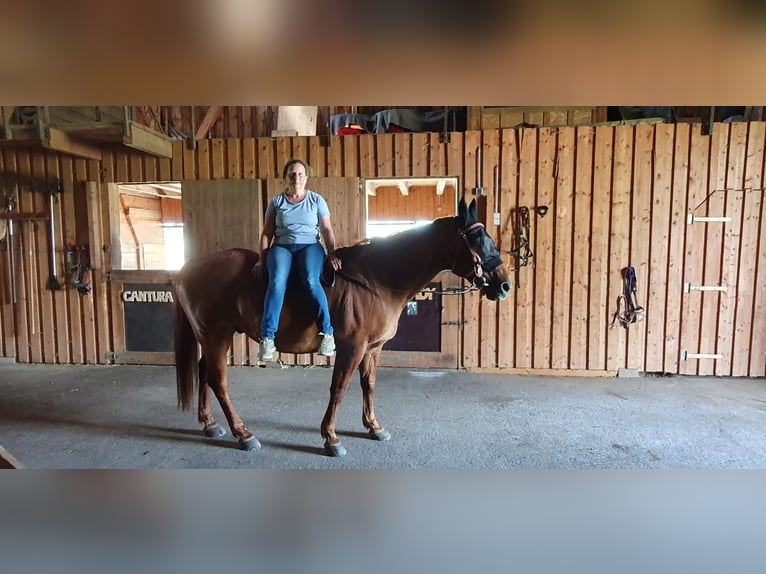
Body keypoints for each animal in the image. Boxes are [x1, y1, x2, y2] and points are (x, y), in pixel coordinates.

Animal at [171, 198, 512, 460]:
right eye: (477, 240)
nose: (504, 285)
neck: (374, 278)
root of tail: (186, 270)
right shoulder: (352, 347)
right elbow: (340, 388)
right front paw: (331, 437)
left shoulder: (373, 348)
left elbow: (368, 385)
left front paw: (374, 427)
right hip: (216, 336)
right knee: (218, 381)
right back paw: (243, 434)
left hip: (214, 337)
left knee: (204, 371)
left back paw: (210, 424)